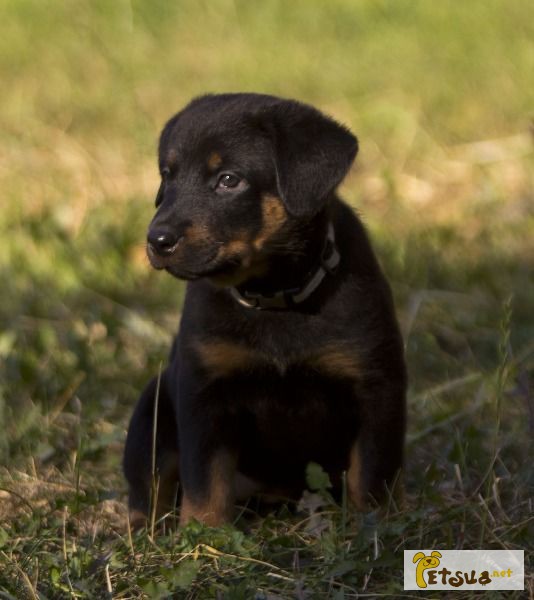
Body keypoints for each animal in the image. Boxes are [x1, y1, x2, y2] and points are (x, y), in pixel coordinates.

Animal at [122, 91, 406, 528]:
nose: (157, 239)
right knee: (149, 481)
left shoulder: (376, 384)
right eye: (167, 176)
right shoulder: (204, 389)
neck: (273, 298)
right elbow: (205, 477)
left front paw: (372, 523)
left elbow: (372, 469)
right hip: (151, 410)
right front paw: (204, 533)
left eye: (228, 180)